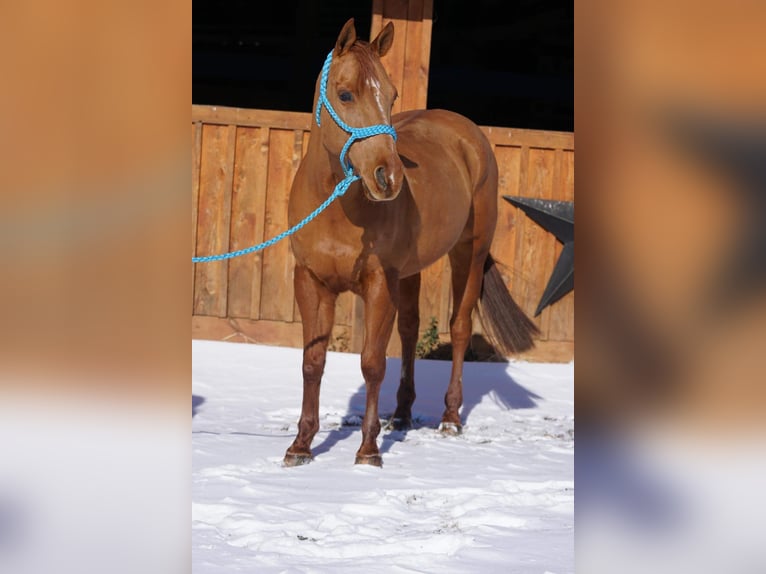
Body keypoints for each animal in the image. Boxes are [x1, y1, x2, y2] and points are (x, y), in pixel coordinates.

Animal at [284, 18, 540, 468]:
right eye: (345, 94)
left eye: (392, 95)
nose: (388, 178)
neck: (338, 208)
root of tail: (464, 131)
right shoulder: (311, 282)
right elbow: (312, 362)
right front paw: (301, 445)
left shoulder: (379, 284)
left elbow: (371, 363)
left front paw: (368, 451)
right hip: (410, 272)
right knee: (409, 330)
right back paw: (402, 414)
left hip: (468, 253)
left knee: (459, 327)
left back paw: (450, 418)